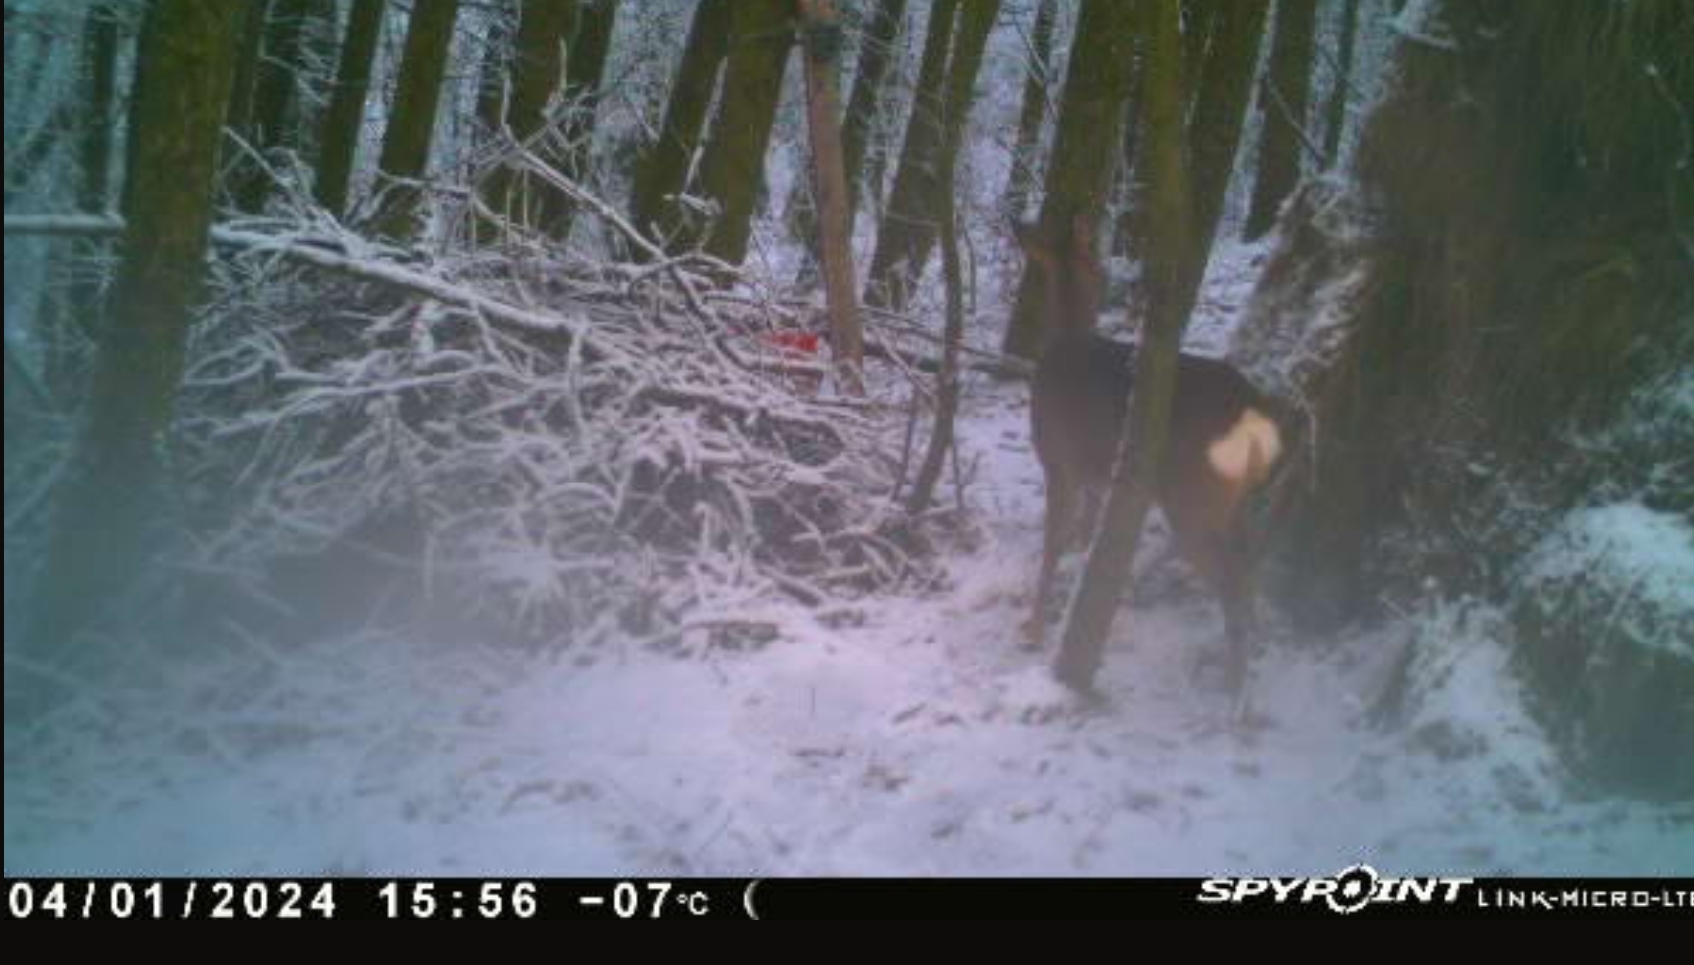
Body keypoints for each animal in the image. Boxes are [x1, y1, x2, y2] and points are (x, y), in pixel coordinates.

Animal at [1015, 216, 1283, 697]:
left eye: (1041, 242)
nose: (1017, 225)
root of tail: (1253, 414)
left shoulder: (1058, 459)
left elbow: (1052, 543)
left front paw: (1034, 630)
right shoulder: (1095, 474)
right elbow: (1085, 530)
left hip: (1192, 498)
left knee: (1232, 581)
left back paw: (1235, 692)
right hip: (1233, 502)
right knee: (1248, 570)